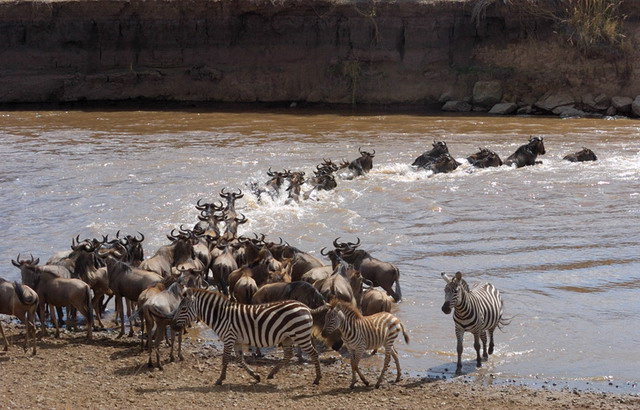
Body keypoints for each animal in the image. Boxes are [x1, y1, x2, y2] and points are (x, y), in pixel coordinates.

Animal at [171, 286, 322, 386]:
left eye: (183, 309)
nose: (172, 326)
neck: (220, 316)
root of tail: (306, 307)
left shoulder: (229, 338)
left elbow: (225, 359)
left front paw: (220, 379)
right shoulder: (236, 340)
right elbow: (239, 359)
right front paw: (255, 376)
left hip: (300, 335)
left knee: (314, 353)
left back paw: (317, 378)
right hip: (287, 337)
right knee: (288, 355)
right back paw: (272, 373)